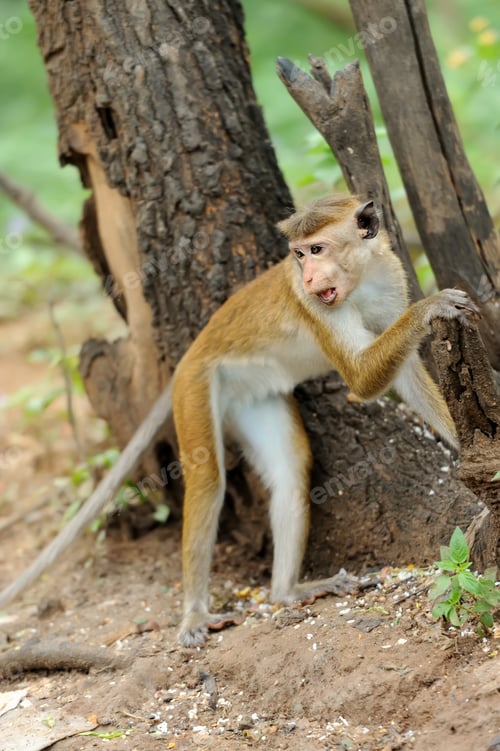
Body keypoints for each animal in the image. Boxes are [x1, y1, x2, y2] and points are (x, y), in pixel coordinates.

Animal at [0, 194, 479, 647]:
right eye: (299, 254)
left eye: (317, 249)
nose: (308, 277)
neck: (360, 280)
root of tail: (191, 352)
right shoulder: (313, 307)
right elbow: (362, 378)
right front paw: (432, 306)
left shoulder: (391, 275)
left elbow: (407, 374)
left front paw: (464, 445)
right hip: (195, 387)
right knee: (207, 480)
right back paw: (196, 612)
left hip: (251, 398)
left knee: (290, 471)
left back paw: (287, 591)